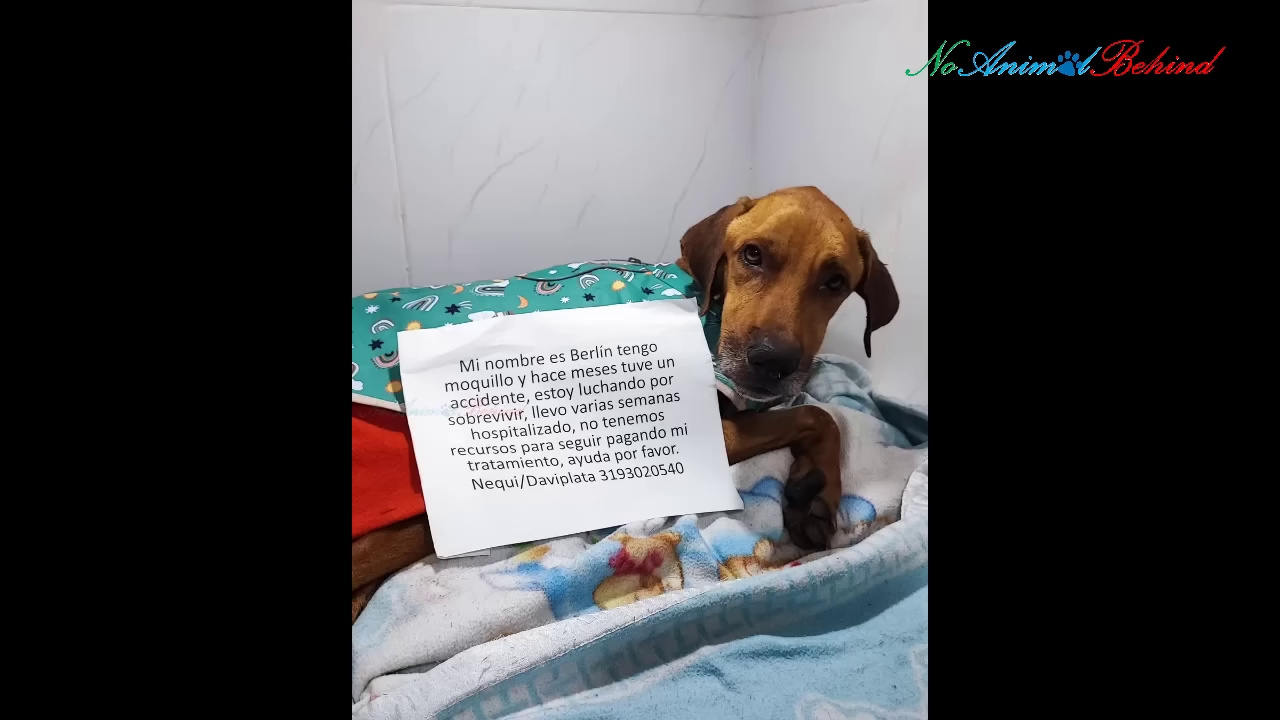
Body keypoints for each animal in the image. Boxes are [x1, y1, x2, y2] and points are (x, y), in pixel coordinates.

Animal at [351, 186, 898, 620]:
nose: (773, 362)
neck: (709, 303)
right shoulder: (702, 434)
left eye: (835, 282)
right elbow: (819, 414)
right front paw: (819, 491)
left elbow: (815, 413)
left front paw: (814, 490)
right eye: (752, 254)